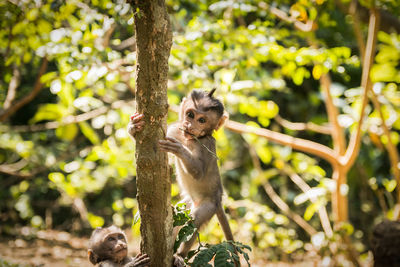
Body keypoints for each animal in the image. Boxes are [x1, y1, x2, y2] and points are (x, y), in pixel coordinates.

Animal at [128, 89, 234, 260]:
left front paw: (179, 149)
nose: (190, 125)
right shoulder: (173, 130)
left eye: (202, 120)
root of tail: (219, 199)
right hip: (188, 203)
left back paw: (180, 255)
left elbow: (198, 172)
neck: (189, 139)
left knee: (193, 223)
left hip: (209, 205)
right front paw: (133, 126)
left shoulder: (208, 144)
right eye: (190, 115)